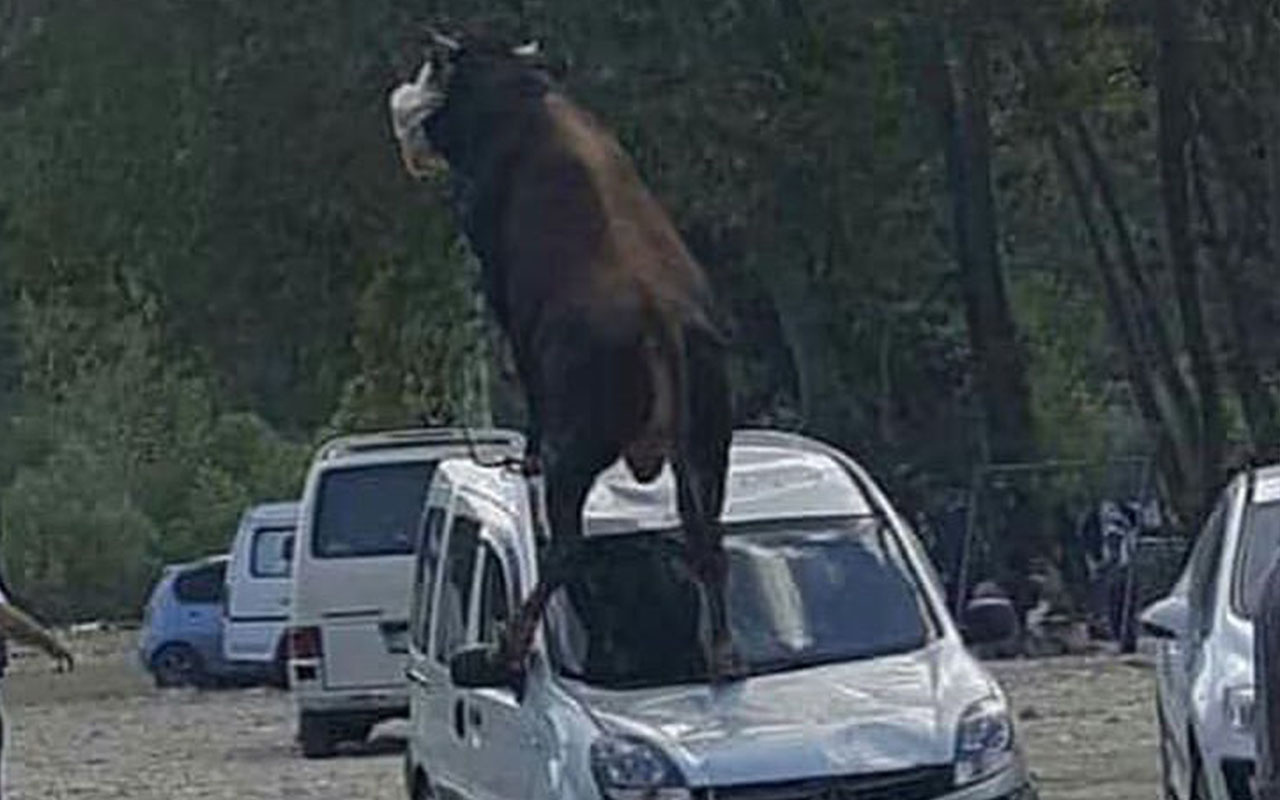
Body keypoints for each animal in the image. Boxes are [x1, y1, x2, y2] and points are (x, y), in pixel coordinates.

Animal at [384, 34, 737, 675]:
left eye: (430, 69)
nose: (402, 100)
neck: (519, 98)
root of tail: (661, 321)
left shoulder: (499, 284)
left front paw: (521, 457)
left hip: (577, 449)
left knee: (566, 547)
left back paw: (511, 644)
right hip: (708, 440)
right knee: (708, 535)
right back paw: (724, 653)